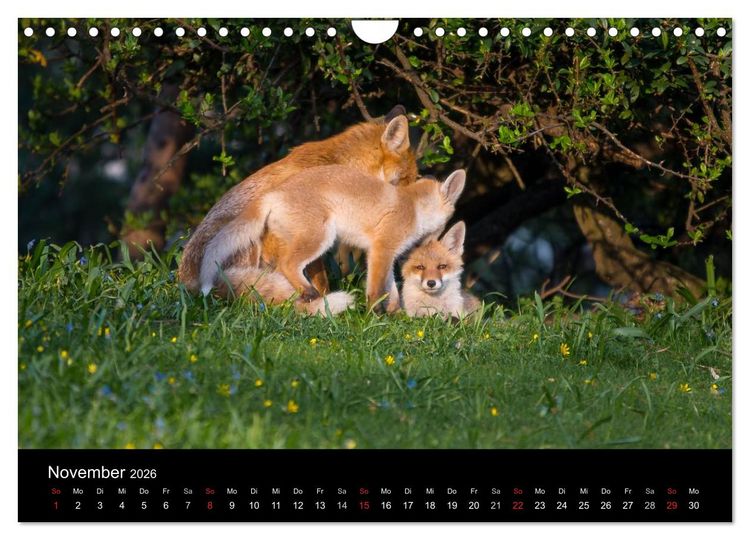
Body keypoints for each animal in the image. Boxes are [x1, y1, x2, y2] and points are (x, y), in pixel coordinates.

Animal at [199, 166, 466, 313]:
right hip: (321, 238)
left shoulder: (386, 255)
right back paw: (310, 293)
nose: (429, 247)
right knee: (288, 264)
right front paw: (373, 315)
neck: (413, 207)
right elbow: (375, 289)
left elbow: (391, 290)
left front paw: (395, 313)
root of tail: (272, 193)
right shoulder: (381, 249)